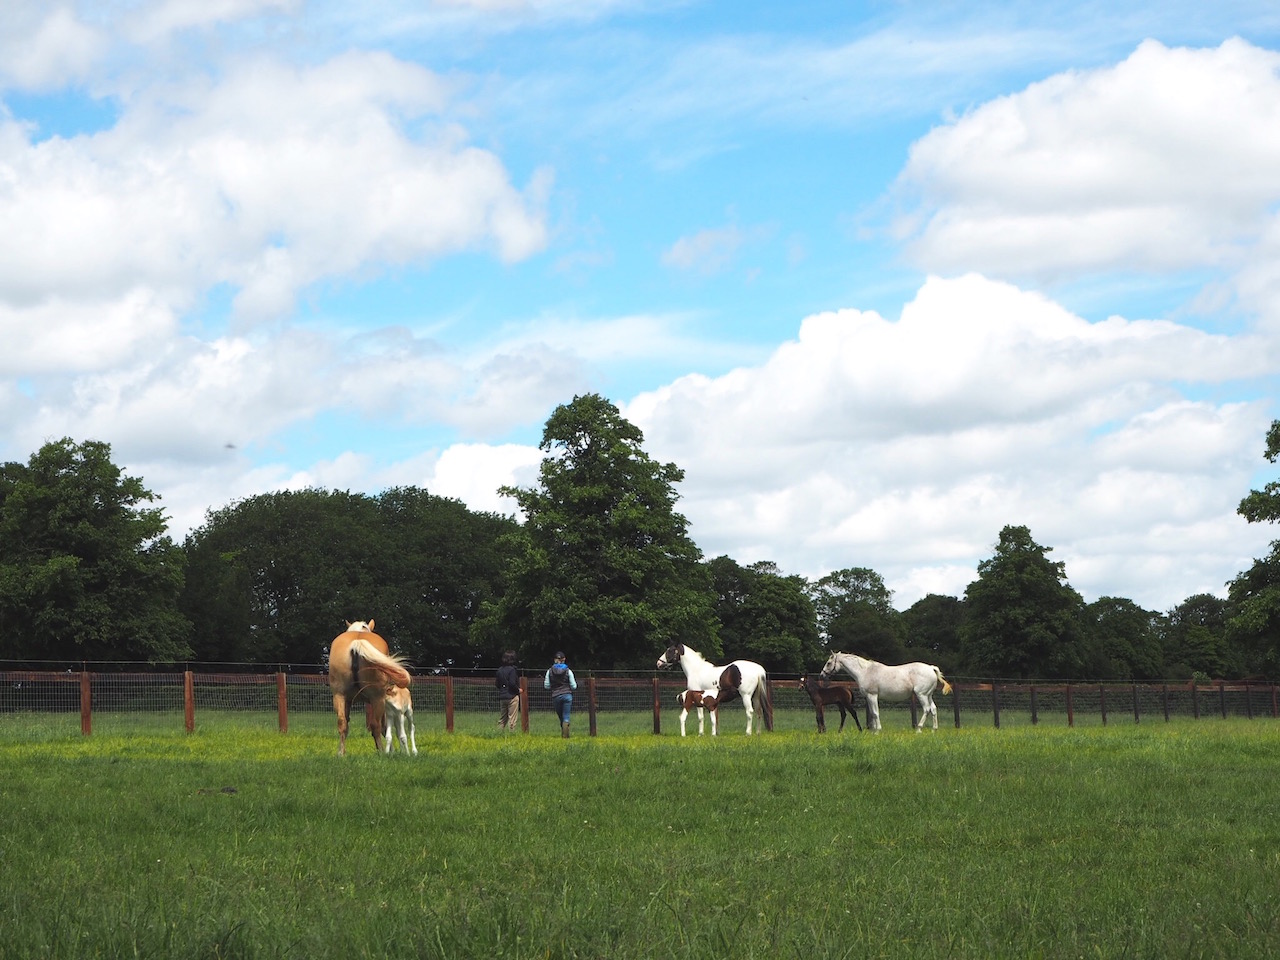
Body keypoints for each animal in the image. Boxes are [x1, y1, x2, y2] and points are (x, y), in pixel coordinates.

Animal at [330, 624, 409, 757]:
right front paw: (391, 750)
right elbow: (384, 726)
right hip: (377, 698)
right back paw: (381, 751)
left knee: (342, 722)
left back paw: (341, 753)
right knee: (376, 725)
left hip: (339, 695)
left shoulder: (347, 701)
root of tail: (357, 643)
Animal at [819, 655, 952, 737]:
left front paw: (877, 731)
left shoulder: (872, 695)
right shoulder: (868, 697)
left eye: (829, 663)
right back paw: (934, 730)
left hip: (921, 695)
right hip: (928, 695)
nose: (822, 675)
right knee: (933, 709)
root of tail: (931, 668)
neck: (865, 671)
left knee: (926, 709)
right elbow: (872, 714)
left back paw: (919, 729)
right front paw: (873, 731)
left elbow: (875, 713)